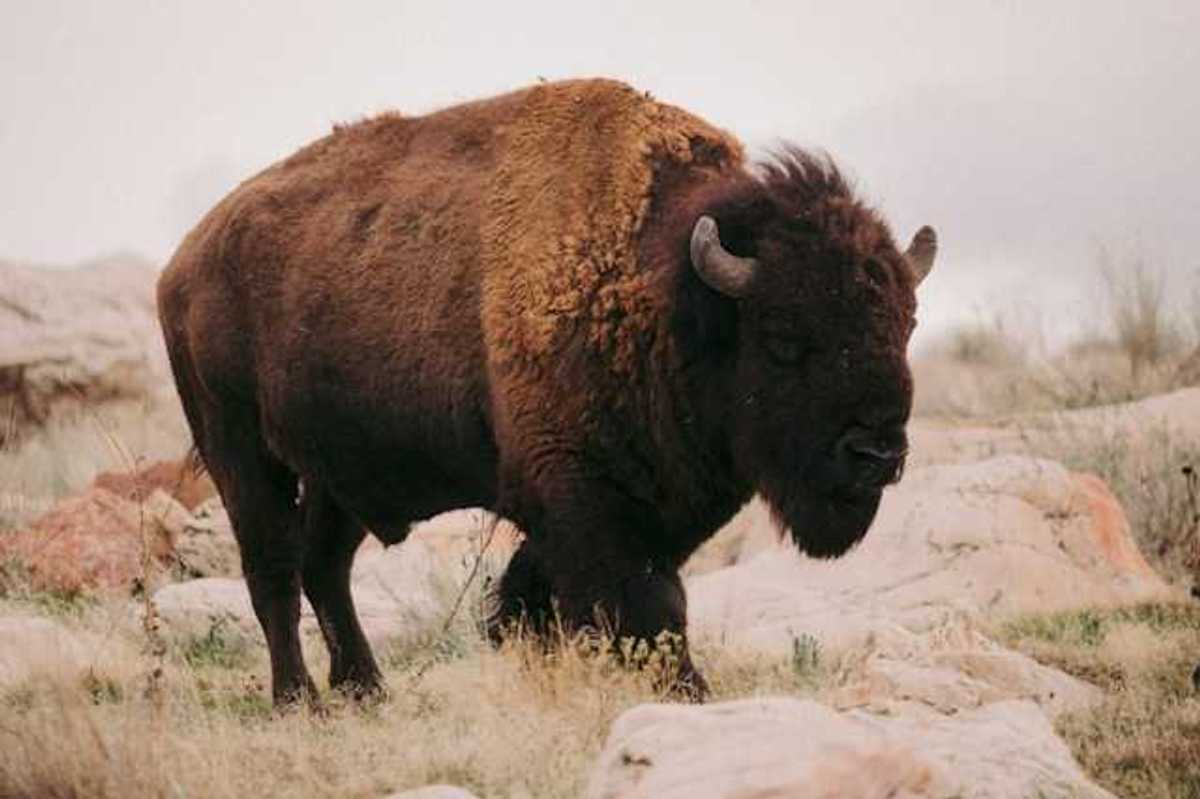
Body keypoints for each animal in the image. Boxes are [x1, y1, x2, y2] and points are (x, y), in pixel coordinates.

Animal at [157, 78, 936, 704]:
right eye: (785, 336)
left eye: (905, 323)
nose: (877, 453)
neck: (663, 289)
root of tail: (185, 261)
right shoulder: (583, 495)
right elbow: (644, 602)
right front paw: (690, 692)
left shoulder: (650, 501)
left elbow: (549, 593)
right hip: (239, 451)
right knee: (273, 573)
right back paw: (300, 700)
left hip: (338, 473)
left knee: (325, 568)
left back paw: (366, 690)